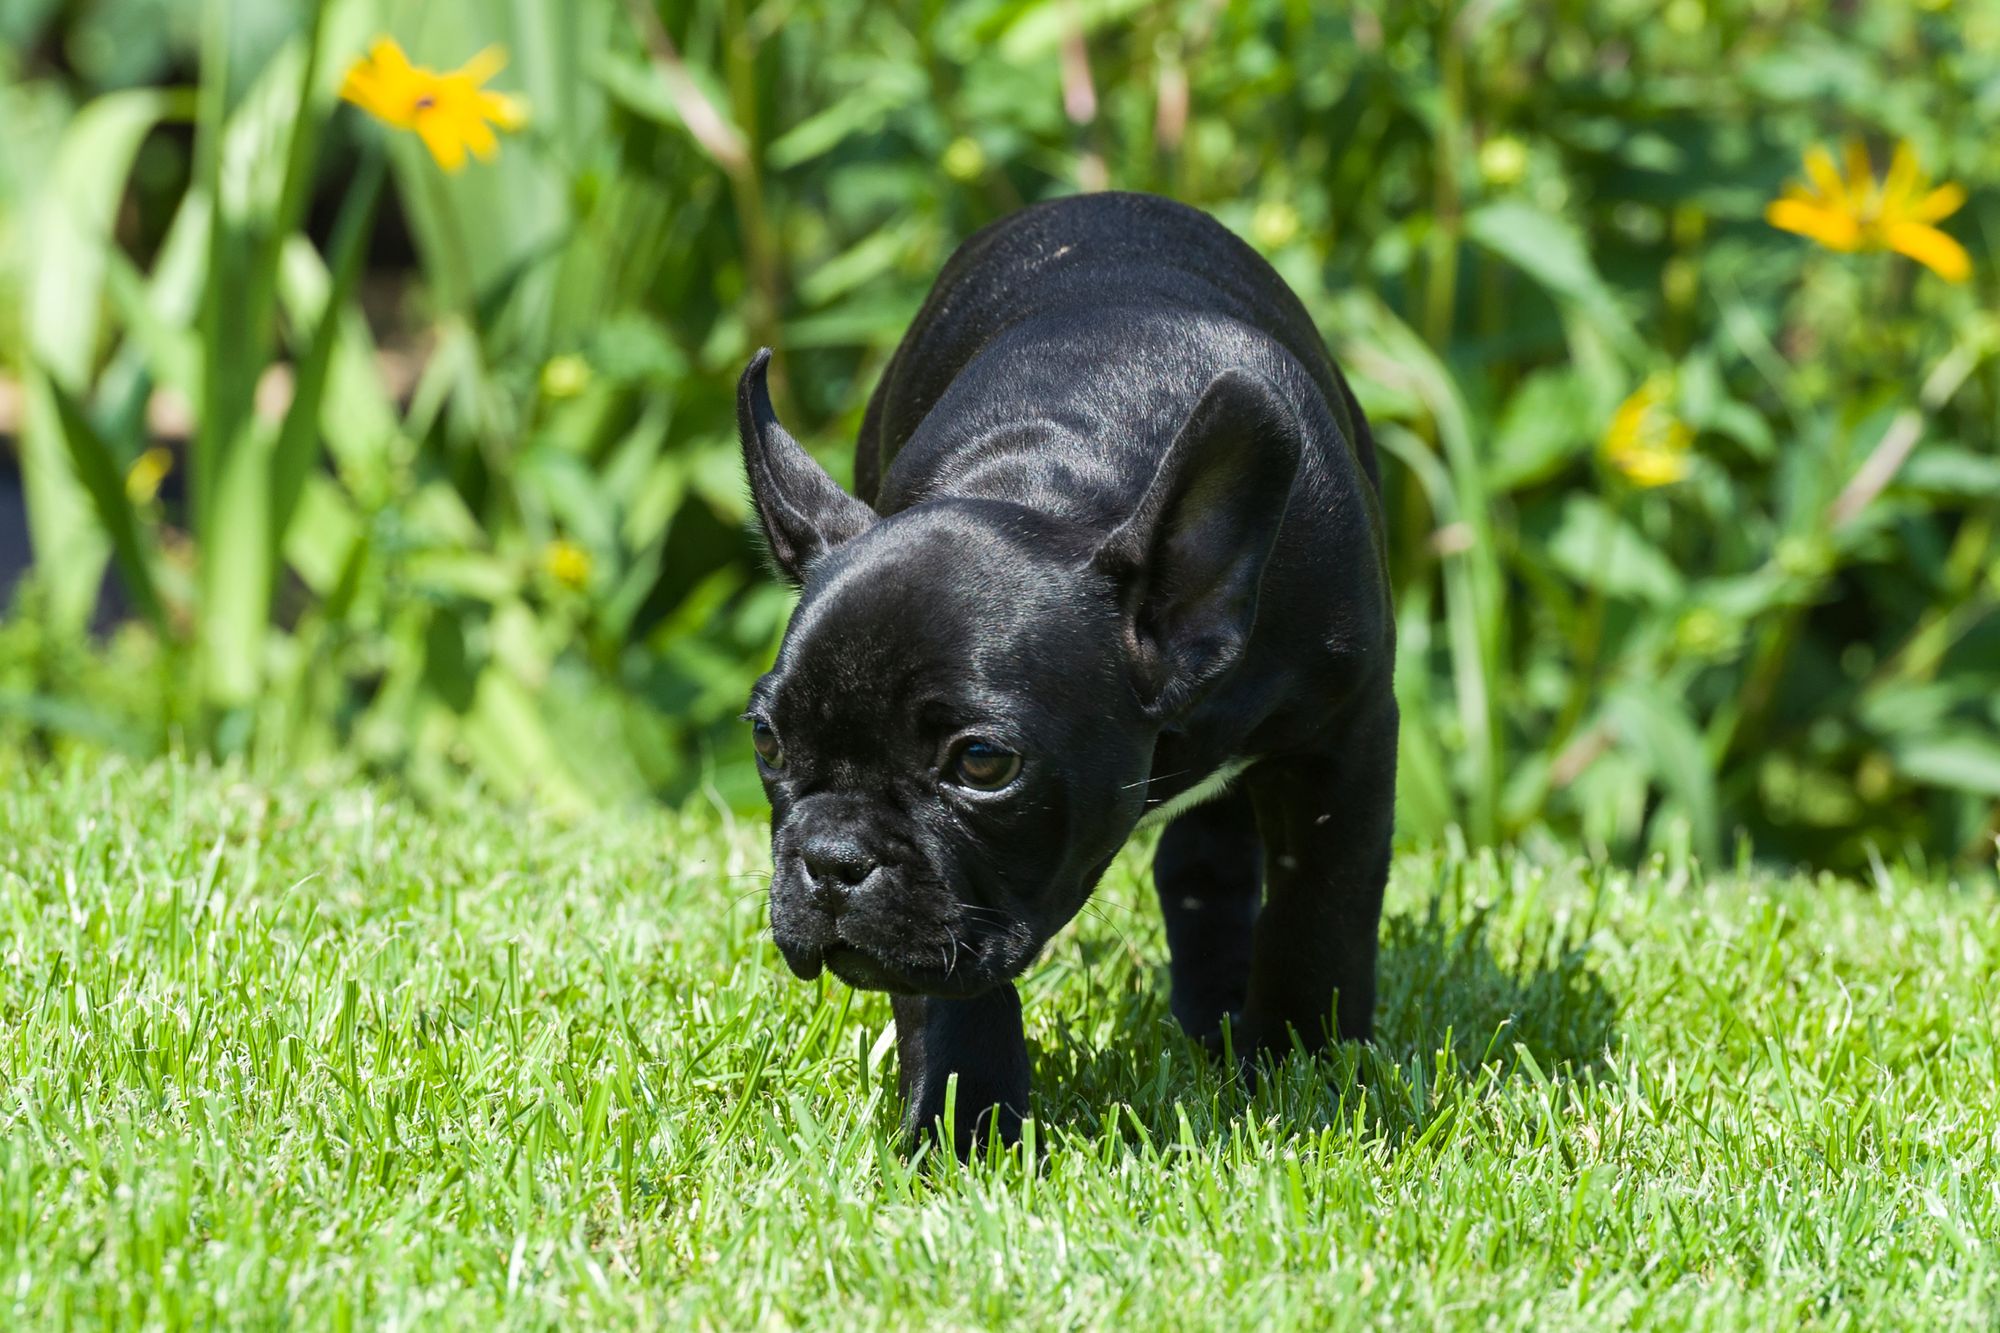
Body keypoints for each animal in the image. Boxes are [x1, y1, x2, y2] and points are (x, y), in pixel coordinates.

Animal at [738, 191, 1396, 1153]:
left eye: (983, 763)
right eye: (769, 743)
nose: (831, 859)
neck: (1055, 484)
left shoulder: (1344, 738)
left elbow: (1321, 911)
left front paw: (1303, 1072)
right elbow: (947, 991)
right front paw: (963, 1130)